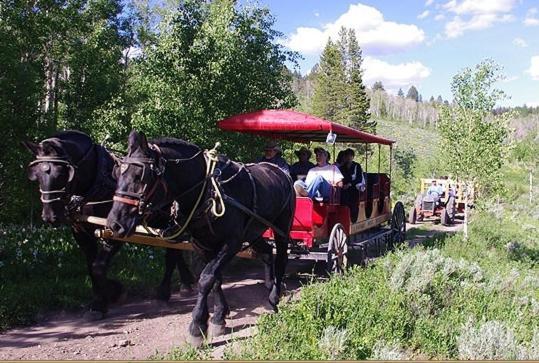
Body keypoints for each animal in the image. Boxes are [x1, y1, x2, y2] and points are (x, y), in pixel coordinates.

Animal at [24, 131, 196, 318]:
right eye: (36, 175)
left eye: (63, 173)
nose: (50, 216)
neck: (97, 182)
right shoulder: (81, 232)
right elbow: (91, 266)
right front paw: (103, 297)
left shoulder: (116, 230)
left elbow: (98, 267)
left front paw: (109, 296)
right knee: (175, 249)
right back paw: (187, 282)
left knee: (171, 254)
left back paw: (164, 293)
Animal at [106, 132, 296, 346]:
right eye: (117, 173)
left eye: (141, 176)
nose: (114, 224)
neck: (206, 191)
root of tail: (279, 171)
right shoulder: (202, 245)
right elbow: (214, 279)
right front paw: (218, 317)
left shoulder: (231, 243)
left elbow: (206, 279)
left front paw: (197, 326)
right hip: (254, 232)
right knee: (267, 253)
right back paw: (270, 289)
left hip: (281, 227)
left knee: (281, 258)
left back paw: (275, 296)